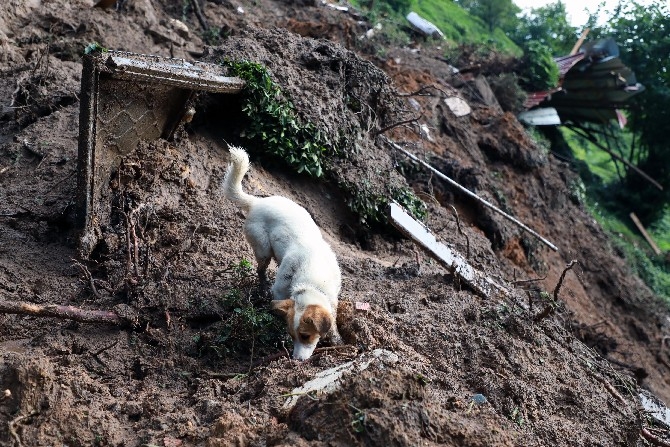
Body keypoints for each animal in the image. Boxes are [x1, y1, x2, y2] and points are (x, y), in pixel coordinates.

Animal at [224, 147, 344, 360]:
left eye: (305, 336)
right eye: (292, 336)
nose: (295, 361)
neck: (313, 281)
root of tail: (256, 203)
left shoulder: (333, 297)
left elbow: (333, 320)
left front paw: (336, 339)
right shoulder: (280, 290)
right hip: (263, 250)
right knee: (260, 271)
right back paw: (262, 288)